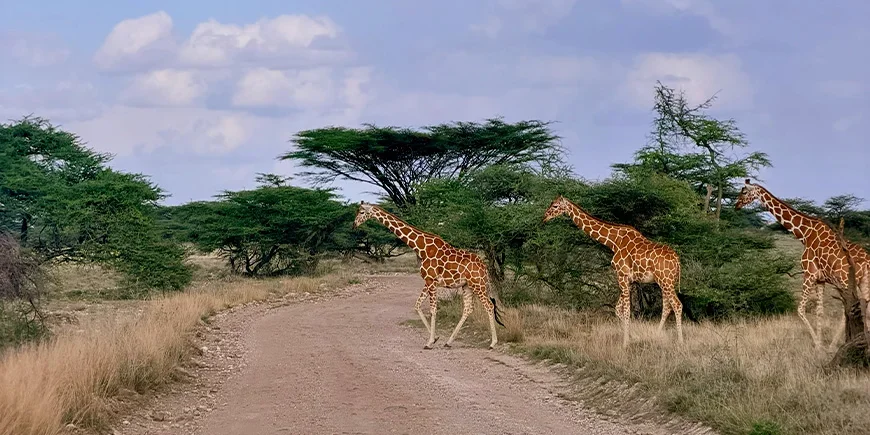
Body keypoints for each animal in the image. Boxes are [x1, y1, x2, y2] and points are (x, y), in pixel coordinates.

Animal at [353, 202, 505, 349]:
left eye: (361, 212)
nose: (354, 225)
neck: (422, 248)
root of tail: (484, 267)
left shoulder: (431, 280)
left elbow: (432, 309)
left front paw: (429, 342)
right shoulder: (428, 281)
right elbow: (417, 305)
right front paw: (435, 338)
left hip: (478, 284)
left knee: (489, 306)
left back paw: (492, 343)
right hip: (467, 285)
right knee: (468, 309)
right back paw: (448, 342)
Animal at [543, 195, 684, 347]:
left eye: (555, 206)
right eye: (551, 203)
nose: (544, 217)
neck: (614, 241)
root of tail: (677, 260)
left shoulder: (621, 275)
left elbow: (626, 310)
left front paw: (625, 343)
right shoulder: (630, 280)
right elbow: (618, 309)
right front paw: (632, 336)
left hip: (665, 281)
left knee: (677, 305)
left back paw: (680, 341)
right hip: (665, 282)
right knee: (667, 306)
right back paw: (657, 335)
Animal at [735, 179, 870, 348]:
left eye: (744, 191)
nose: (736, 205)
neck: (804, 233)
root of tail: (867, 261)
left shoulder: (809, 273)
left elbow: (800, 309)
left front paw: (818, 346)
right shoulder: (820, 279)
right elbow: (820, 312)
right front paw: (820, 343)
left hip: (847, 281)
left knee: (850, 310)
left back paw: (834, 345)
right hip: (863, 281)